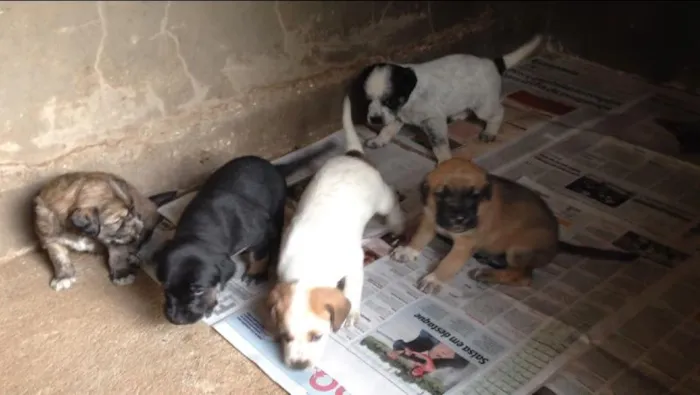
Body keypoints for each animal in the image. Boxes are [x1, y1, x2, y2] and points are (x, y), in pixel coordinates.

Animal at [154, 144, 334, 326]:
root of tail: (273, 166)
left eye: (198, 290)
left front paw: (256, 274)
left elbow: (259, 256)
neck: (201, 232)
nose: (176, 319)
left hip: (277, 208)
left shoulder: (259, 235)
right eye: (165, 287)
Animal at [264, 112, 404, 372]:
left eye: (317, 336)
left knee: (392, 199)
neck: (308, 267)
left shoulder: (355, 261)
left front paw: (352, 313)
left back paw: (398, 222)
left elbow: (353, 288)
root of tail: (353, 155)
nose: (298, 366)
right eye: (286, 336)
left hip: (381, 199)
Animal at [342, 34, 544, 162]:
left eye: (389, 100)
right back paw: (458, 115)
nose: (374, 119)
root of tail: (492, 63)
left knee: (498, 112)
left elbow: (439, 145)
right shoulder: (396, 117)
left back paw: (490, 132)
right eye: (367, 100)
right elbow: (387, 130)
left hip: (483, 106)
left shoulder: (433, 120)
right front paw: (379, 140)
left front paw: (445, 162)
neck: (410, 98)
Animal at [392, 159, 636, 294]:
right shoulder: (429, 220)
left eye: (475, 196)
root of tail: (557, 243)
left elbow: (449, 263)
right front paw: (408, 250)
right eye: (442, 194)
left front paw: (434, 279)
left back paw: (487, 274)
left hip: (519, 249)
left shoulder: (464, 245)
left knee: (525, 277)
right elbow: (419, 238)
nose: (460, 219)